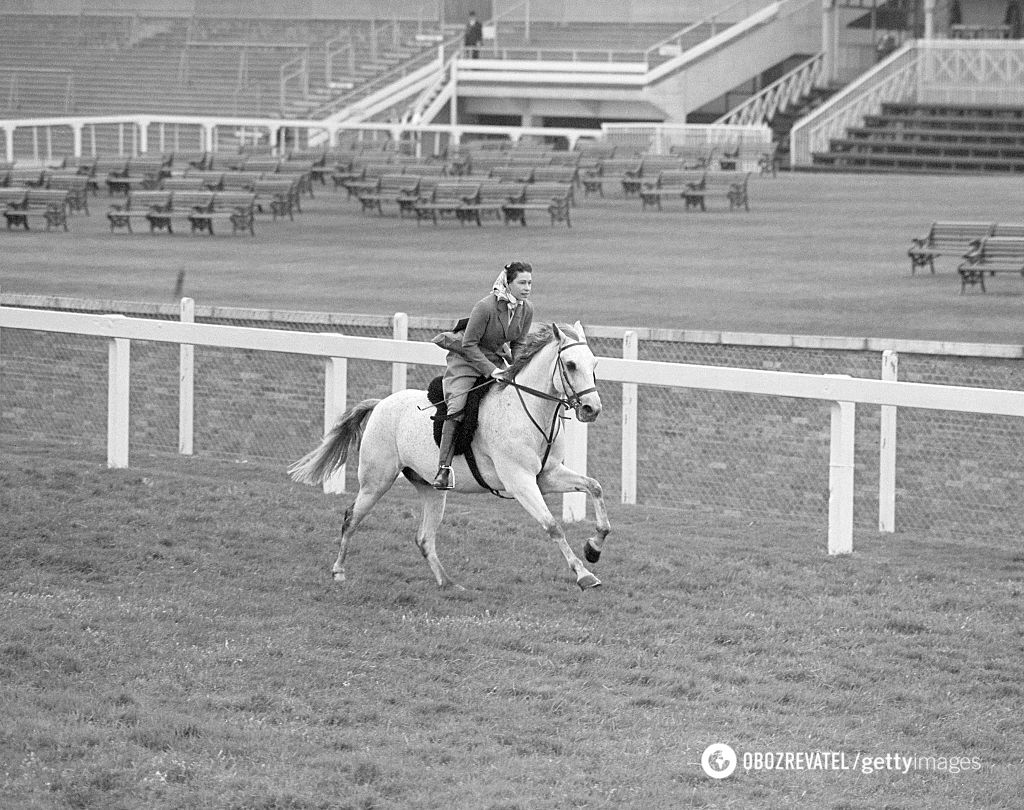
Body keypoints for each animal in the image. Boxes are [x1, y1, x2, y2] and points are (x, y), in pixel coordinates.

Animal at [286, 319, 606, 593]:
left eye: (594, 364)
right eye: (570, 364)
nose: (592, 409)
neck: (526, 409)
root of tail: (380, 404)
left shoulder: (547, 476)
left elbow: (595, 487)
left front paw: (594, 547)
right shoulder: (520, 481)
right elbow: (553, 526)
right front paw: (584, 575)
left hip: (431, 489)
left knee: (424, 538)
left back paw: (448, 582)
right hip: (376, 481)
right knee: (351, 518)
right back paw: (339, 571)